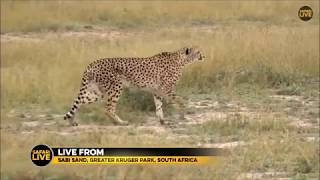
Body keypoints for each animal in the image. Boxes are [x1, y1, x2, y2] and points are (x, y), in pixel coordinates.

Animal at [64, 47, 205, 127]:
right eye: (198, 52)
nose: (203, 56)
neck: (181, 60)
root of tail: (92, 64)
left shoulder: (157, 90)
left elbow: (159, 106)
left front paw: (162, 121)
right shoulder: (166, 89)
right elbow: (180, 101)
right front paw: (183, 114)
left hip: (97, 92)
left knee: (79, 103)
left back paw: (72, 121)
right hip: (116, 87)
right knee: (108, 108)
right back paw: (121, 122)